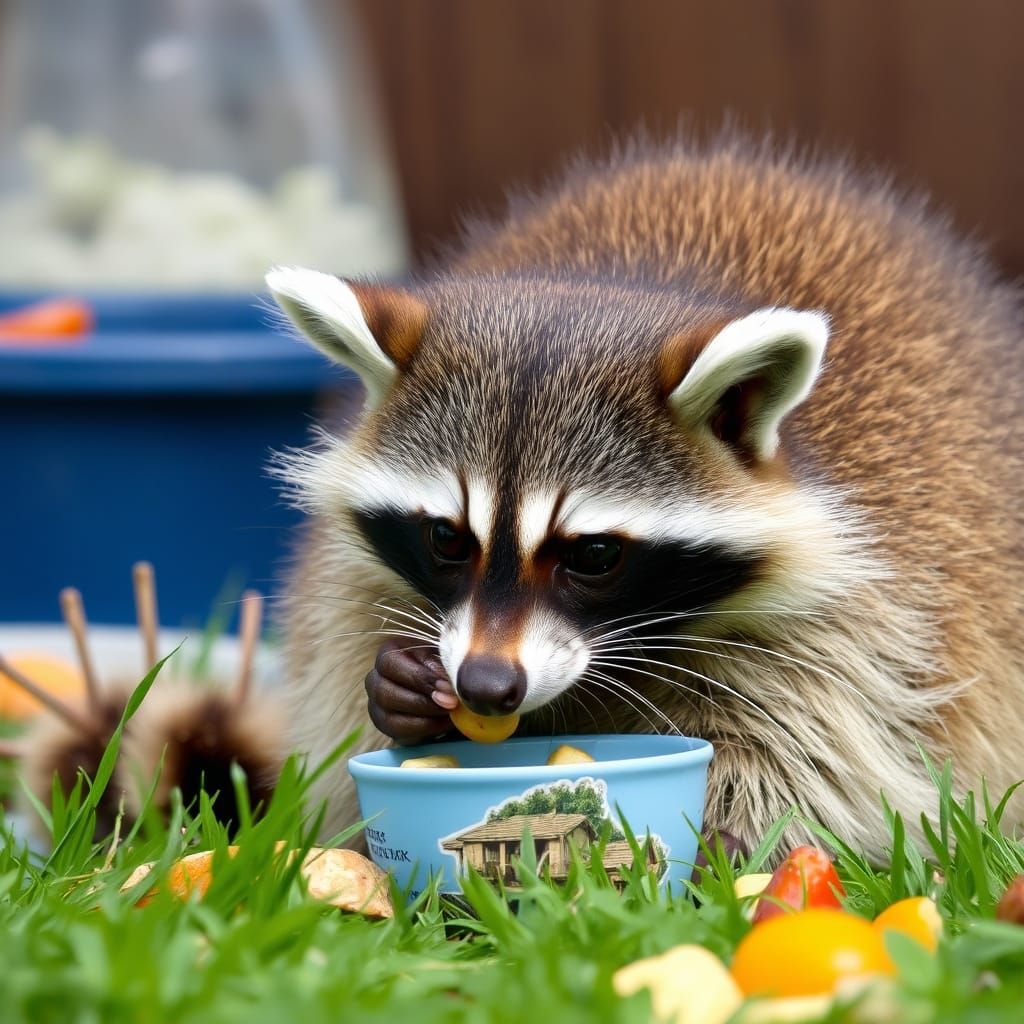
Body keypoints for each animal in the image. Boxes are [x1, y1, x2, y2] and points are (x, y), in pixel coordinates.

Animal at [268, 136, 1022, 858]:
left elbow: (812, 752)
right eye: (447, 538)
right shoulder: (362, 580)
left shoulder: (860, 616)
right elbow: (348, 663)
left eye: (595, 555)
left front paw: (731, 844)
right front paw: (394, 688)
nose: (485, 685)